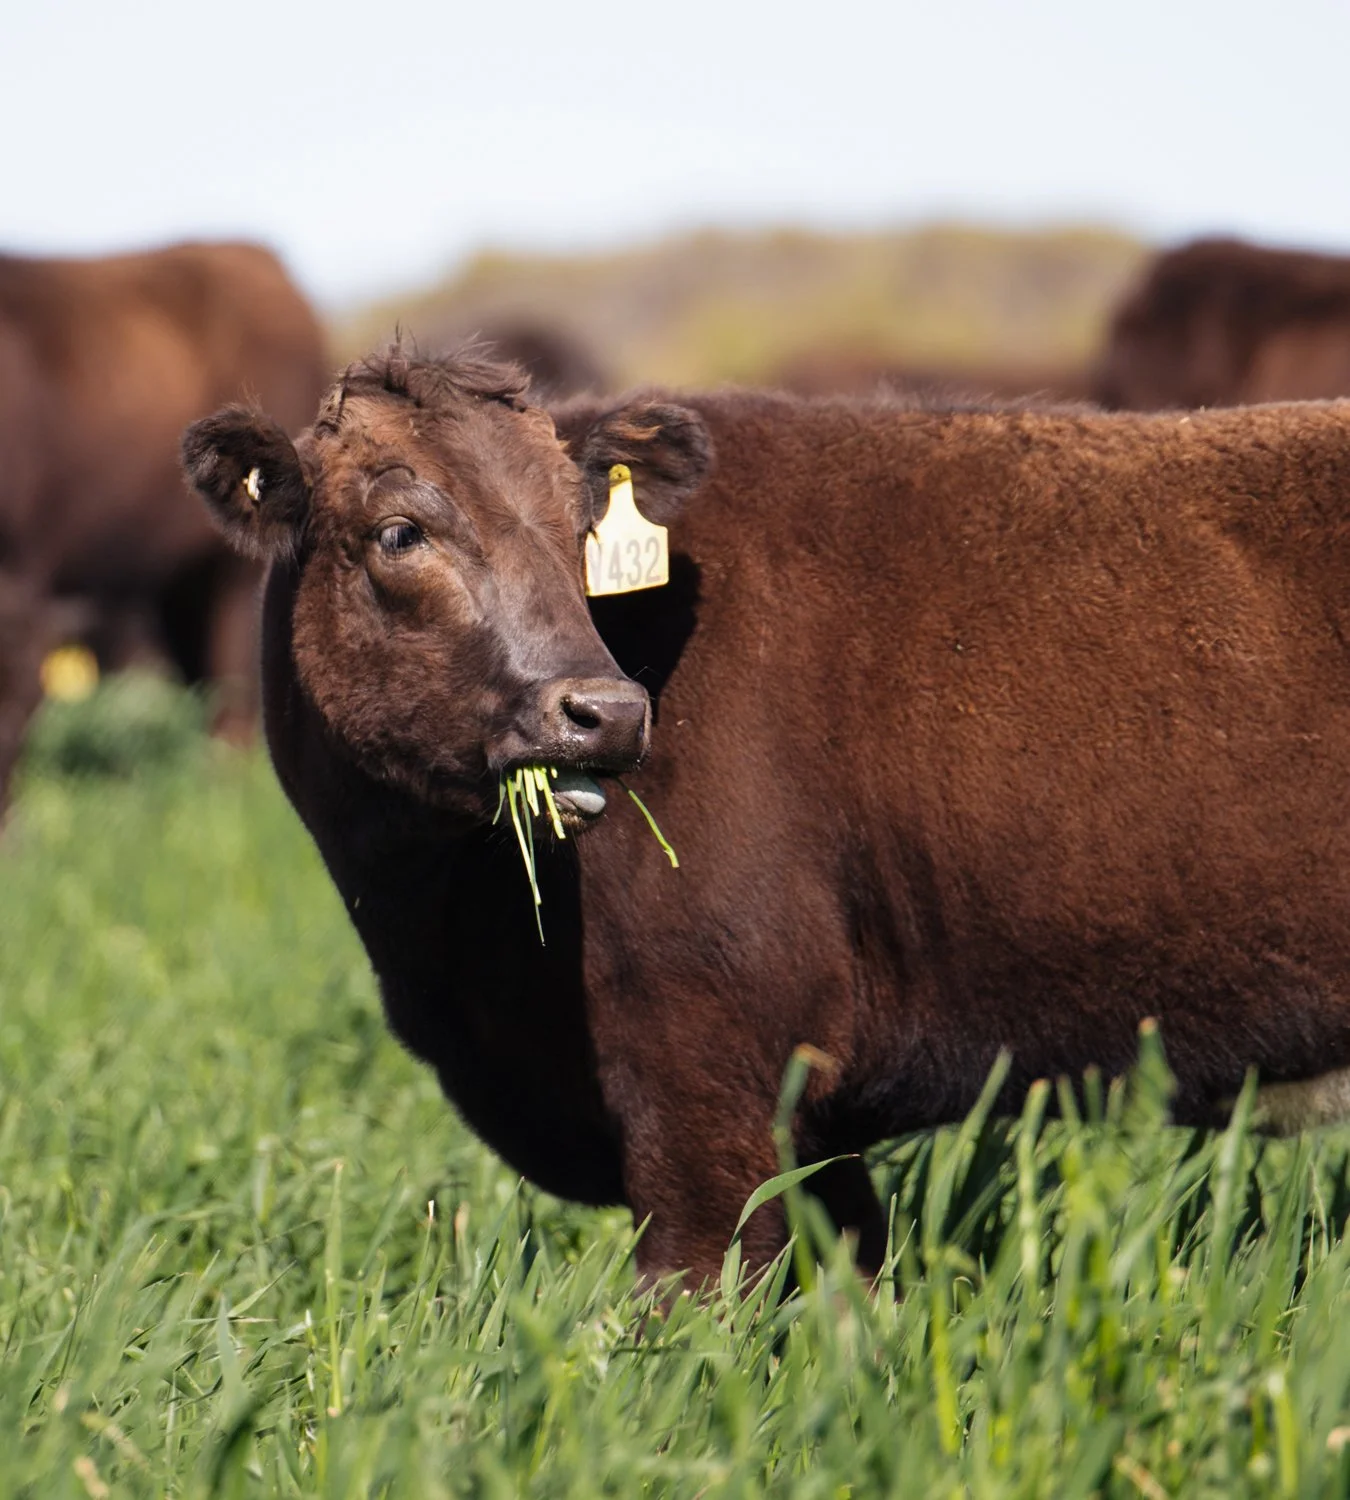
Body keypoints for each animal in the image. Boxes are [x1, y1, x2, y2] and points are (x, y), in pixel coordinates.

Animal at [183, 348, 1350, 1288]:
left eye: (577, 532)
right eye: (399, 532)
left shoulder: (705, 1084)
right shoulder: (812, 1131)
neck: (450, 942)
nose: (606, 711)